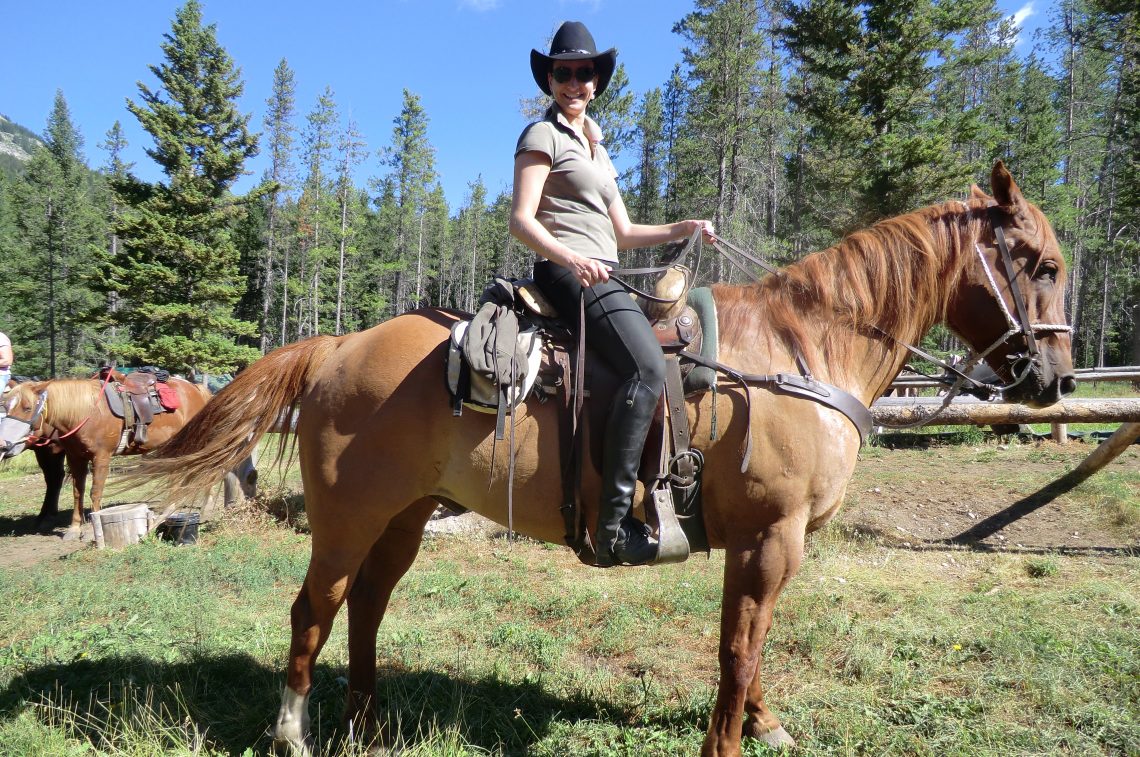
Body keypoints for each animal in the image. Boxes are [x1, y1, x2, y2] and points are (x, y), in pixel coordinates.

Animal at [0, 373, 212, 538]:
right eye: (6, 407)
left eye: (27, 407)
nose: (4, 444)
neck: (85, 412)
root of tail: (196, 388)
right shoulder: (75, 458)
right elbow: (77, 492)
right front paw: (74, 529)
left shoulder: (101, 457)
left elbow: (95, 491)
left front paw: (92, 530)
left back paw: (204, 510)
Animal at [129, 163, 1071, 752]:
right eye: (1043, 264)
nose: (1054, 377)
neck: (802, 351)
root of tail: (334, 345)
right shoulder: (770, 536)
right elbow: (739, 650)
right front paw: (728, 740)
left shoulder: (766, 544)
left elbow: (750, 644)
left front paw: (762, 722)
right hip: (347, 516)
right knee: (314, 609)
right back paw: (294, 732)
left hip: (404, 514)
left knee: (367, 603)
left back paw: (368, 723)